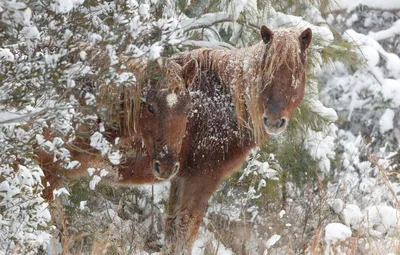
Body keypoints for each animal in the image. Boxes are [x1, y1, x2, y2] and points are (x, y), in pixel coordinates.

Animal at [157, 25, 312, 253]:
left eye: (297, 73)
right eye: (266, 71)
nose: (274, 121)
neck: (224, 104)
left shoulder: (180, 177)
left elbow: (171, 228)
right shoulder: (201, 177)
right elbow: (185, 231)